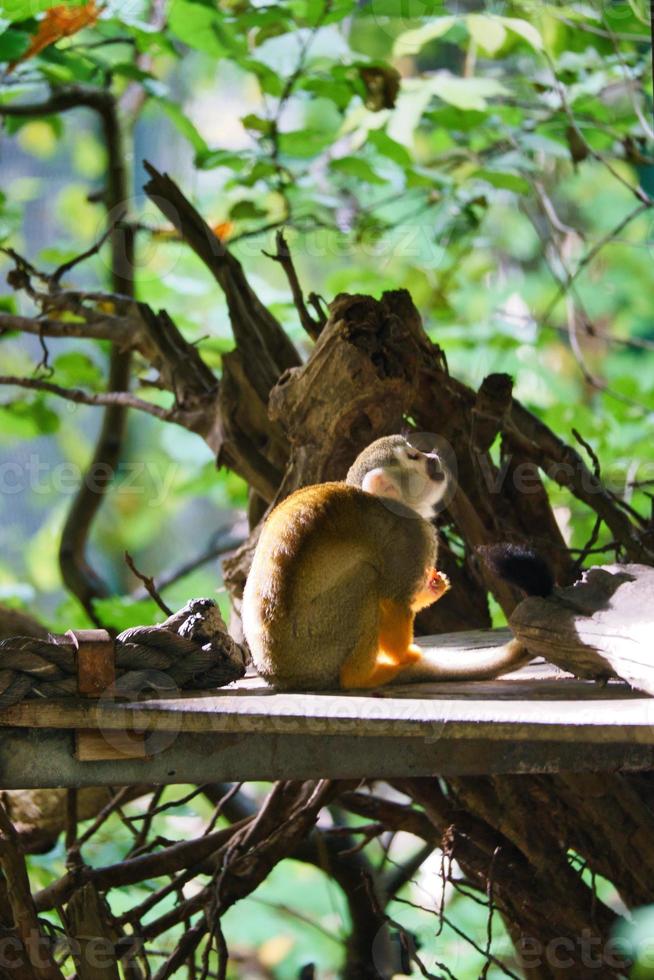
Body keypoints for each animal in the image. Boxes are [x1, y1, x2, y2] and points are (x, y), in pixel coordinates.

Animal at [243, 432, 540, 692]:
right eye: (414, 456)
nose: (433, 456)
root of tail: (280, 675)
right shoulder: (411, 534)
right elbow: (395, 600)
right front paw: (406, 655)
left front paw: (434, 587)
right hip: (317, 645)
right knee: (366, 578)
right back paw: (361, 676)